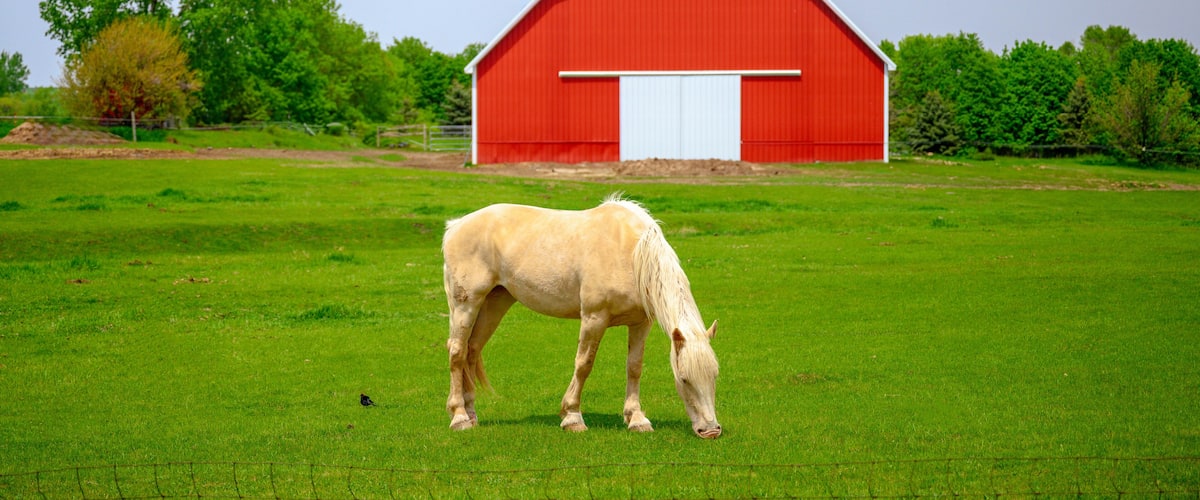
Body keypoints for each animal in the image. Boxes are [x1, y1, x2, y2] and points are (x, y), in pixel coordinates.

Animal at [441, 195, 722, 439]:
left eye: (714, 376)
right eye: (684, 378)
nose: (710, 431)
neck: (631, 252)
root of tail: (455, 227)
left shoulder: (641, 323)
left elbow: (634, 367)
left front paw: (636, 418)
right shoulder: (594, 318)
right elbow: (584, 364)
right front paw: (572, 417)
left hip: (494, 303)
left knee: (472, 350)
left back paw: (471, 413)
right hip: (466, 305)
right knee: (457, 351)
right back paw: (459, 417)